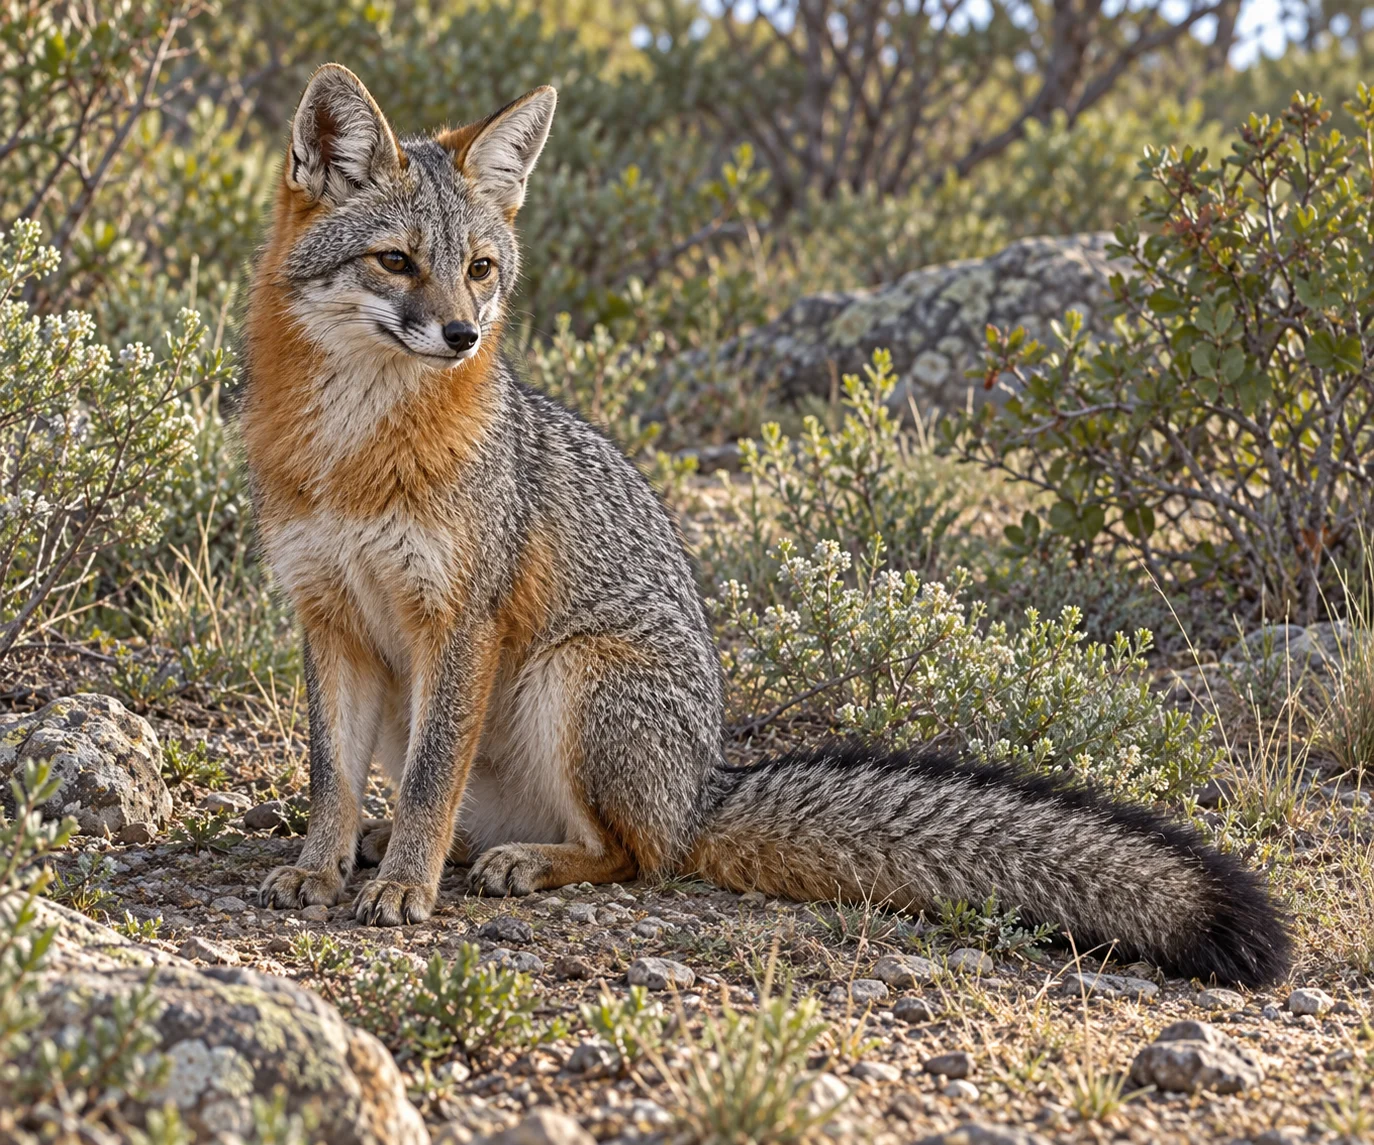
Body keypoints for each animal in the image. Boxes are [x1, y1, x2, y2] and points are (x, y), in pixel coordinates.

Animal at [243, 64, 1291, 987]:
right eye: (396, 261)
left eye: (479, 269)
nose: (463, 335)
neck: (355, 457)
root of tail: (709, 780)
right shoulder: (329, 617)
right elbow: (332, 775)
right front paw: (320, 865)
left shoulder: (460, 621)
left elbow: (430, 780)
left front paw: (403, 890)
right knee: (503, 817)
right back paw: (417, 845)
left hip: (571, 681)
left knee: (639, 853)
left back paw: (523, 861)